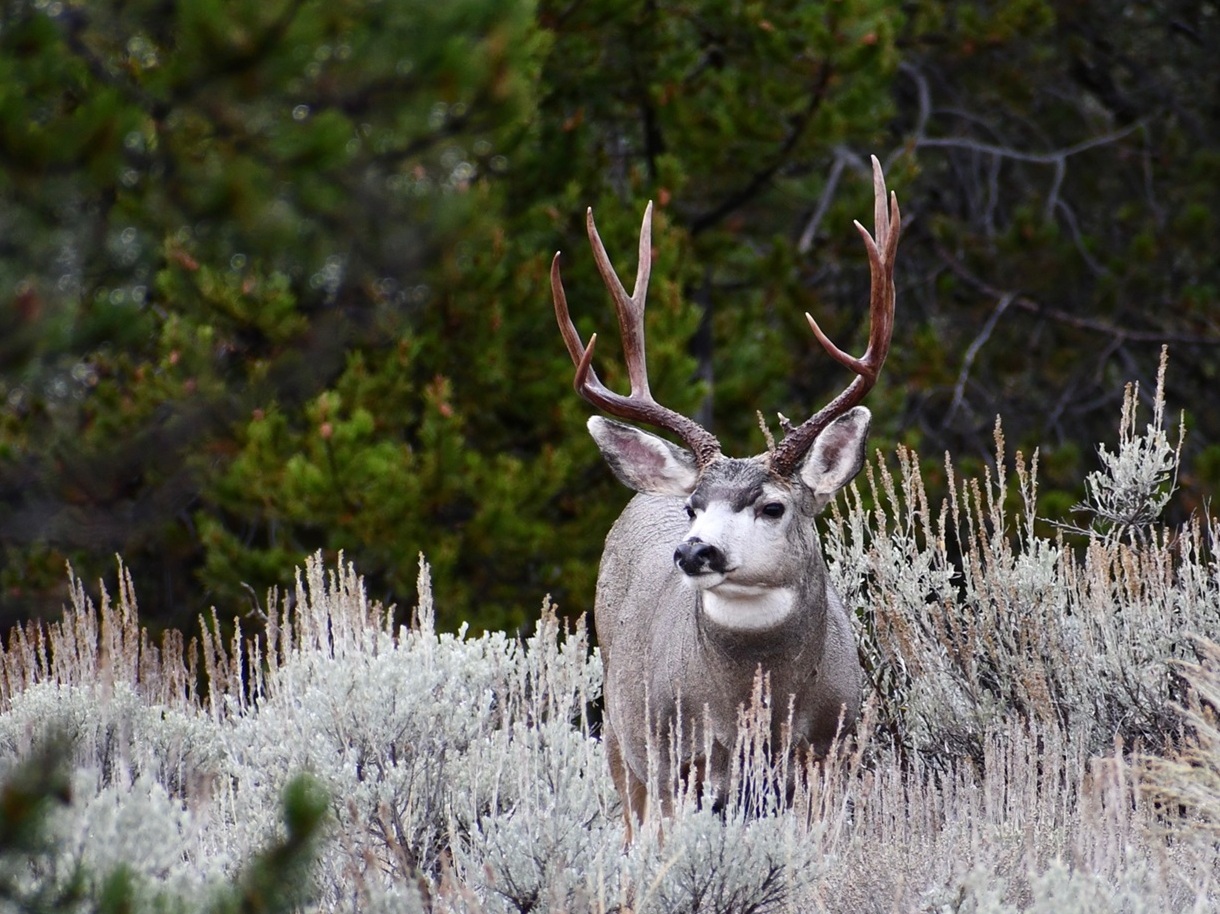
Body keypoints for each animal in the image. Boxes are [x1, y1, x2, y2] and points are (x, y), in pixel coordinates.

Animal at [551, 157, 899, 839]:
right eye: (695, 507)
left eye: (773, 506)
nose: (694, 551)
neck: (752, 708)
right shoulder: (673, 760)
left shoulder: (832, 755)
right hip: (622, 736)